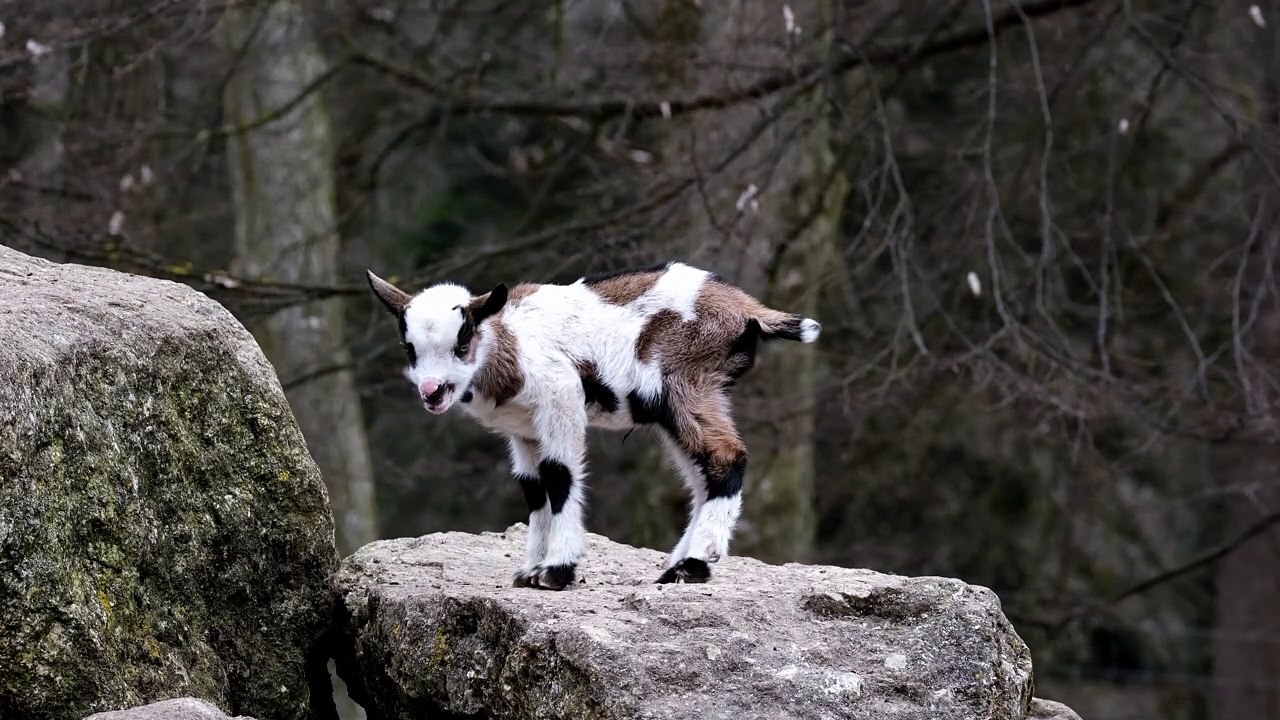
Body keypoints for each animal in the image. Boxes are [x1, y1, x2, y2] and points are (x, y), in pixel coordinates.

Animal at [366, 261, 820, 589]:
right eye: (410, 348)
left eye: (462, 343)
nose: (432, 391)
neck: (510, 344)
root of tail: (746, 307)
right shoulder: (524, 429)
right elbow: (534, 488)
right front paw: (529, 572)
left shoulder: (560, 397)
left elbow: (559, 475)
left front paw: (556, 571)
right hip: (676, 403)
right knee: (700, 476)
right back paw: (677, 566)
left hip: (684, 383)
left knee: (725, 456)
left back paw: (693, 566)